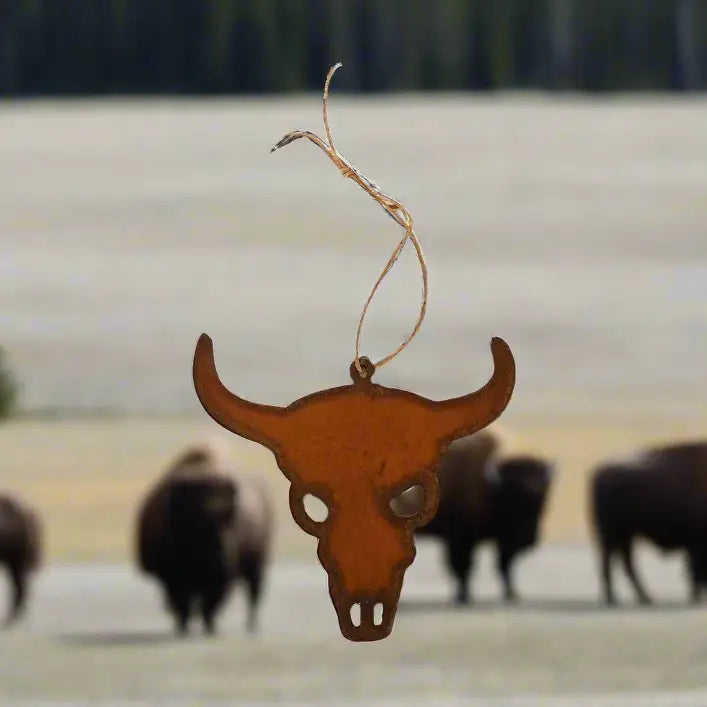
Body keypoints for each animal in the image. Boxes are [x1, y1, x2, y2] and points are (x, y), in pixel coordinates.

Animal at [136, 444, 273, 635]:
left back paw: (250, 626)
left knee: (253, 594)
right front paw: (185, 627)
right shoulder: (174, 576)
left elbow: (208, 603)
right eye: (194, 524)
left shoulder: (219, 579)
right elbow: (184, 602)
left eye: (229, 522)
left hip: (256, 566)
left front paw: (209, 627)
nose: (220, 559)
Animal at [394, 428, 554, 604]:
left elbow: (504, 565)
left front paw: (512, 593)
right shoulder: (462, 538)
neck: (490, 488)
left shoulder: (503, 543)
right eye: (512, 497)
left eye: (543, 500)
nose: (529, 540)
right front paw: (462, 596)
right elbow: (462, 567)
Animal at [590, 440, 707, 605]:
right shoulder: (696, 544)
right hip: (615, 536)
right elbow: (694, 568)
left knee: (623, 563)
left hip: (624, 536)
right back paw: (621, 599)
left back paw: (637, 598)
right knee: (614, 563)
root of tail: (601, 473)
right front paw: (696, 596)